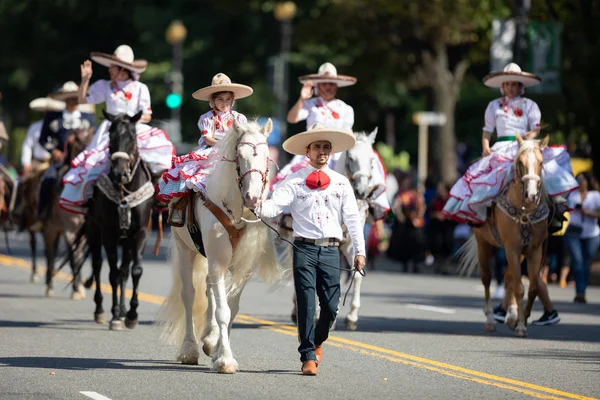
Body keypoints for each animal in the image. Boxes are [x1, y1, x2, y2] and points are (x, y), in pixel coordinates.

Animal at [88, 111, 156, 330]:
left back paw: (124, 310)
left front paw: (132, 314)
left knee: (125, 270)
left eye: (133, 137)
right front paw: (115, 315)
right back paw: (101, 310)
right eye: (110, 136)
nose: (120, 173)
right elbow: (112, 273)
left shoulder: (141, 232)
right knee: (97, 265)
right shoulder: (108, 233)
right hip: (93, 231)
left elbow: (135, 271)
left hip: (126, 240)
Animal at [159, 119, 282, 372]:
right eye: (240, 156)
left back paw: (209, 338)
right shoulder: (217, 261)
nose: (252, 197)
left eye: (267, 156)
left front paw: (216, 348)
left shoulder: (243, 267)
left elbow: (230, 307)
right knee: (189, 295)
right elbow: (222, 310)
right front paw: (225, 358)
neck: (235, 211)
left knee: (209, 290)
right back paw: (190, 349)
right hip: (185, 250)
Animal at [278, 128, 378, 332]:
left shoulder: (350, 244)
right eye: (351, 157)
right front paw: (317, 314)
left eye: (372, 160)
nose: (362, 191)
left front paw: (352, 317)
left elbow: (356, 275)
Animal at [458, 134, 552, 338]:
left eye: (541, 163)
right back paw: (490, 320)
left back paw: (512, 315)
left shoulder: (534, 251)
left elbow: (532, 288)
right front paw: (521, 326)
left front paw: (520, 320)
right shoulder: (512, 248)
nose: (531, 195)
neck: (525, 210)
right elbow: (520, 288)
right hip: (484, 244)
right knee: (487, 278)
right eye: (520, 162)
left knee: (509, 277)